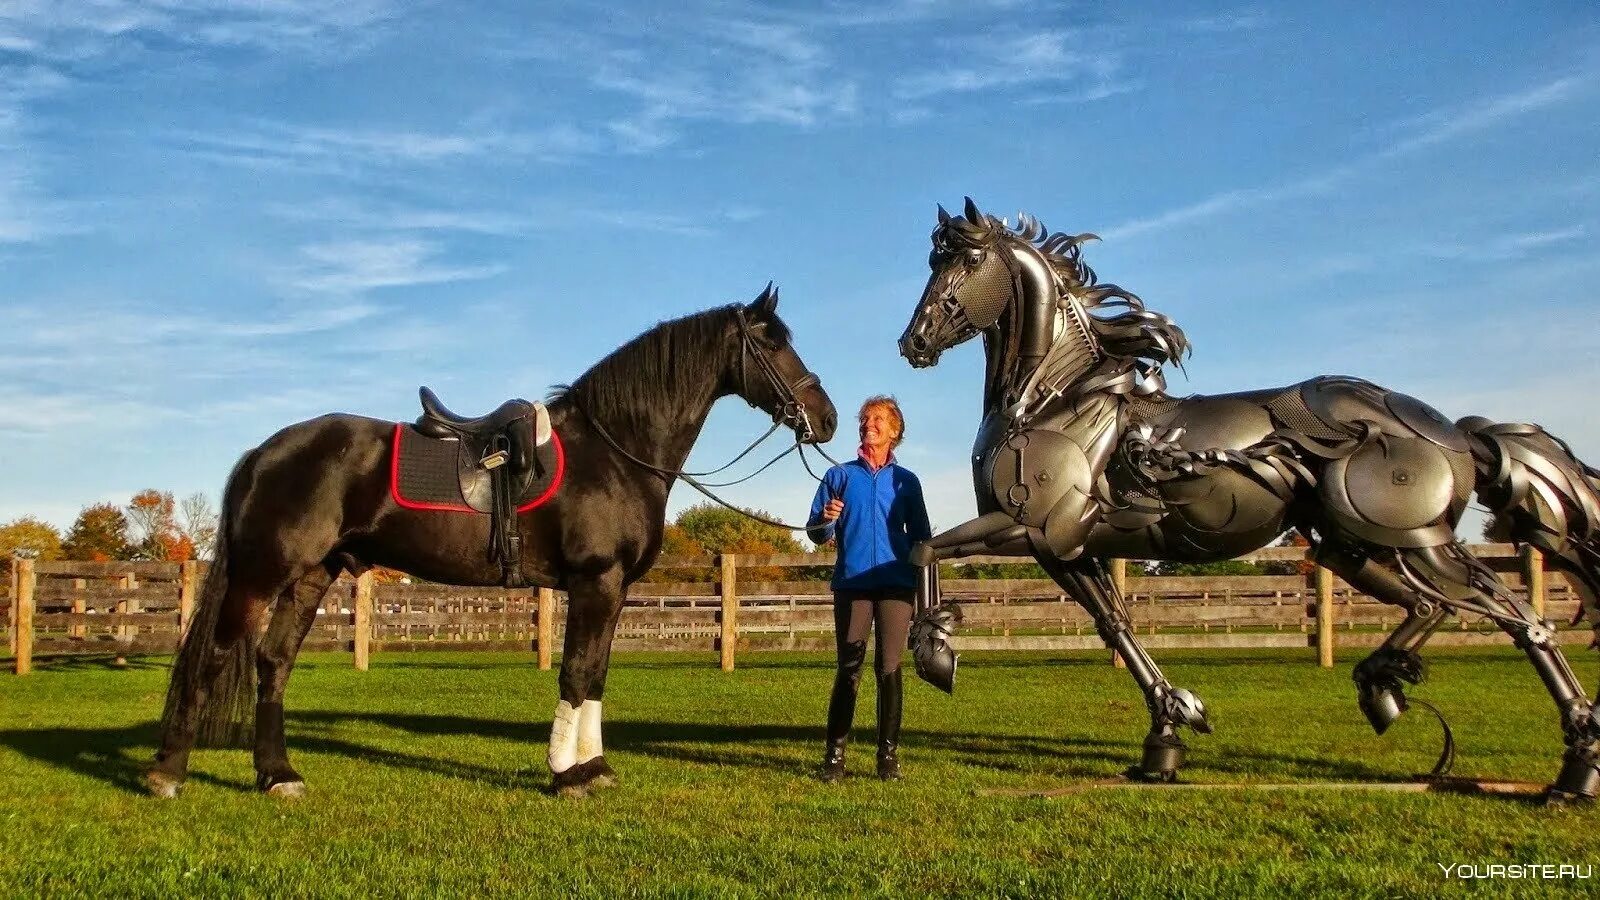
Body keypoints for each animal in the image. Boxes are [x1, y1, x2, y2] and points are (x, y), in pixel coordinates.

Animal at [148, 285, 838, 791]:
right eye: (772, 344)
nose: (826, 418)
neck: (614, 451)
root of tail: (265, 452)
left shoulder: (611, 590)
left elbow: (596, 675)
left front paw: (593, 766)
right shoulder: (595, 581)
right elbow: (577, 672)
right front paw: (567, 774)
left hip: (312, 576)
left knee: (273, 663)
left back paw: (277, 775)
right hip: (262, 574)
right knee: (216, 655)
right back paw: (168, 772)